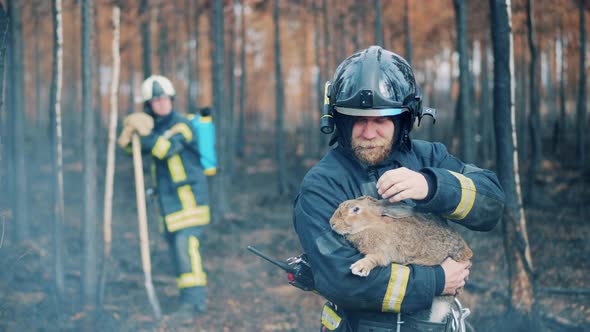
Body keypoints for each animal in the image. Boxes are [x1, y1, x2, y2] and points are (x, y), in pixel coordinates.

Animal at [330, 196, 474, 322]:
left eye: (356, 209)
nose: (332, 223)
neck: (373, 224)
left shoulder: (384, 252)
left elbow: (374, 259)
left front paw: (359, 268)